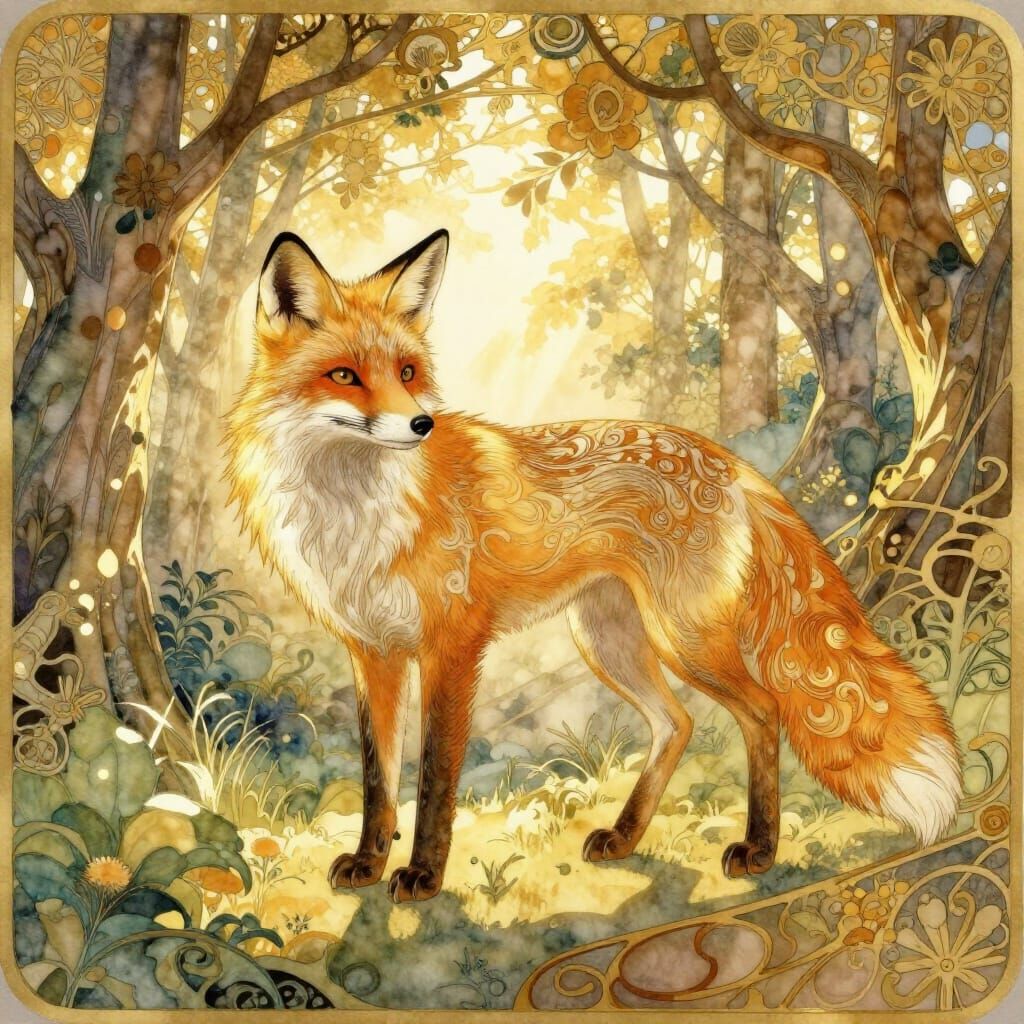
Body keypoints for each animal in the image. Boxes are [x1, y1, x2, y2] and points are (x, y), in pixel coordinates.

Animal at [224, 228, 963, 903]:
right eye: (345, 375)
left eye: (406, 373)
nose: (421, 425)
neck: (355, 512)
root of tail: (730, 462)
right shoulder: (373, 651)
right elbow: (379, 779)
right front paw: (369, 862)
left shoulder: (452, 647)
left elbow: (434, 779)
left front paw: (424, 875)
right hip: (608, 639)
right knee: (677, 723)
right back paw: (628, 835)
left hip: (682, 638)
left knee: (762, 712)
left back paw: (760, 847)